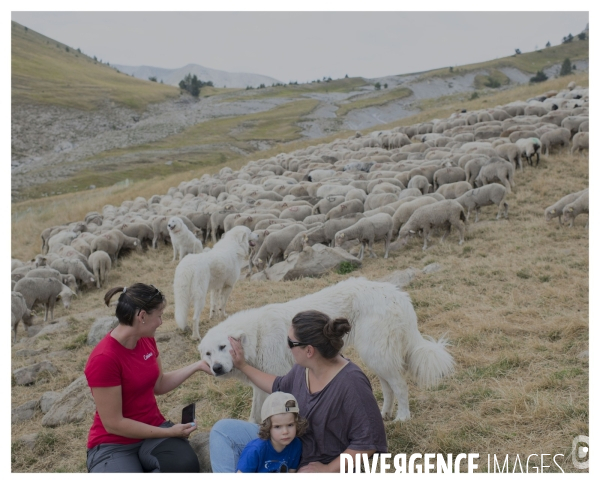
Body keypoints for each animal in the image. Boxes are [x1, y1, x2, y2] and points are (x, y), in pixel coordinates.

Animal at [199, 278, 452, 422]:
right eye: (208, 354)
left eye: (223, 347)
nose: (217, 368)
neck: (256, 335)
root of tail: (398, 294)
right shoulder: (261, 385)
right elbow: (254, 416)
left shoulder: (277, 378)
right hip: (377, 357)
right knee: (389, 387)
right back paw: (385, 414)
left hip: (377, 354)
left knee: (400, 386)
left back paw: (402, 418)